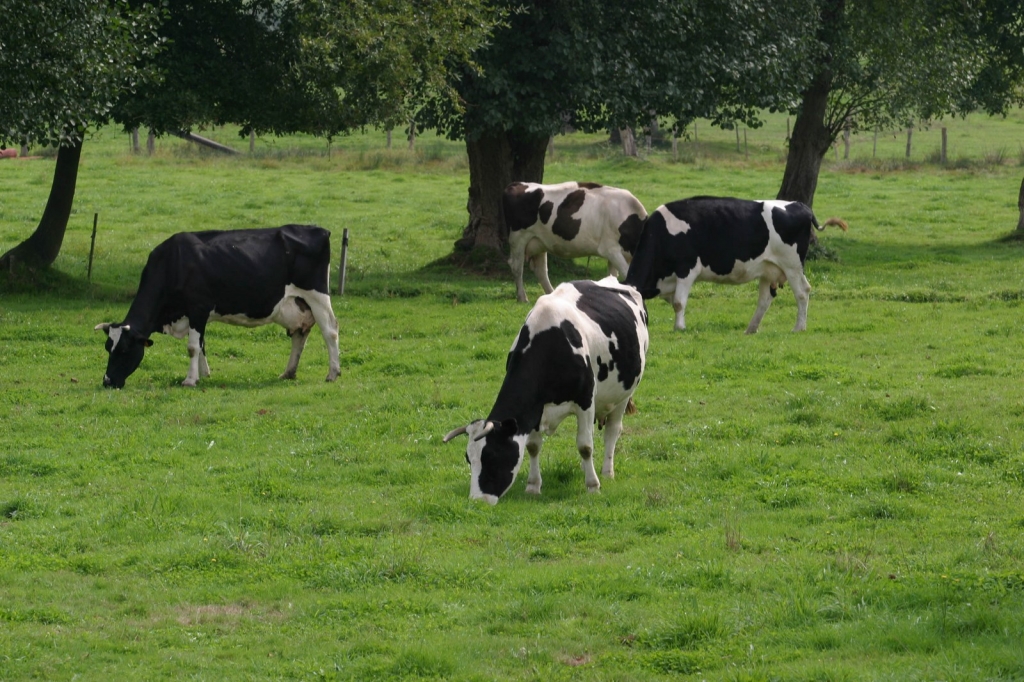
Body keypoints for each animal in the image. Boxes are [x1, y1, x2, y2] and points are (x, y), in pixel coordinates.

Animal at [94, 224, 339, 387]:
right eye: (107, 348)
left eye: (124, 350)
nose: (107, 381)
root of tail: (319, 230)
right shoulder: (197, 315)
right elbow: (201, 344)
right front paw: (203, 374)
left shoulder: (197, 308)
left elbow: (192, 347)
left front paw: (190, 380)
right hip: (298, 304)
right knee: (300, 335)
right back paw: (288, 373)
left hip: (316, 295)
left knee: (330, 331)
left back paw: (333, 373)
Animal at [440, 274, 647, 501]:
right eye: (469, 458)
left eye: (493, 456)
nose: (478, 501)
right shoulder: (535, 409)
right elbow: (533, 446)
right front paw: (533, 485)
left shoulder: (585, 401)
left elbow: (585, 446)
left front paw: (593, 486)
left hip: (624, 393)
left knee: (612, 431)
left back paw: (606, 472)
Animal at [499, 179, 643, 301]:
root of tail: (517, 184)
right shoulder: (610, 250)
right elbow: (626, 274)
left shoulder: (614, 254)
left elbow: (613, 277)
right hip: (518, 237)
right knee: (516, 266)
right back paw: (522, 297)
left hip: (539, 241)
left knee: (541, 270)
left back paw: (551, 293)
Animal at [622, 195, 847, 333]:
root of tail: (800, 205)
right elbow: (674, 302)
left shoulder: (687, 268)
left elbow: (678, 302)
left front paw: (679, 328)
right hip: (768, 269)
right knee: (765, 299)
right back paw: (751, 329)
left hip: (792, 265)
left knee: (802, 291)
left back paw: (798, 327)